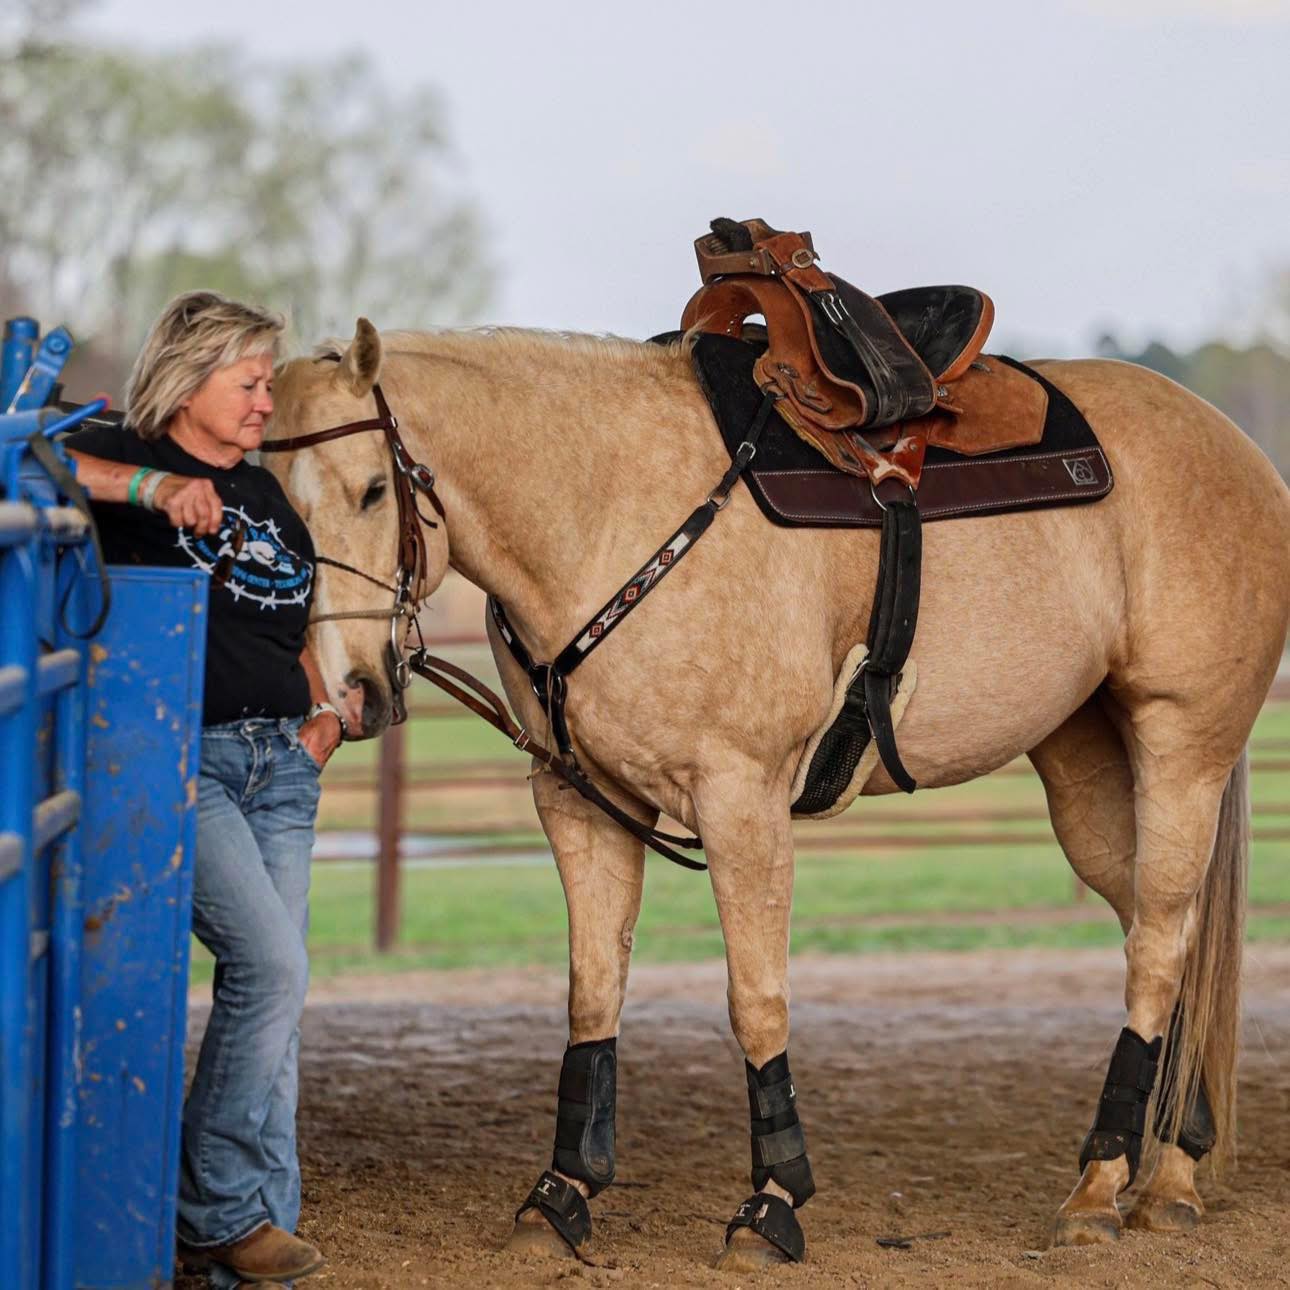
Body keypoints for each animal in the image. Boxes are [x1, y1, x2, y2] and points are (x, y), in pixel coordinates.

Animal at [264, 317, 1290, 1269]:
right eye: (269, 507)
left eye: (371, 490)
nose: (348, 691)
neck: (609, 510)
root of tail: (1240, 451)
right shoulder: (580, 802)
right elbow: (594, 994)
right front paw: (560, 1197)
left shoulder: (740, 798)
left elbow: (756, 999)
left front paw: (771, 1202)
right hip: (1085, 769)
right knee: (1171, 937)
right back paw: (1174, 1174)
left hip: (1182, 748)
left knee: (1158, 945)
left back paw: (1101, 1186)